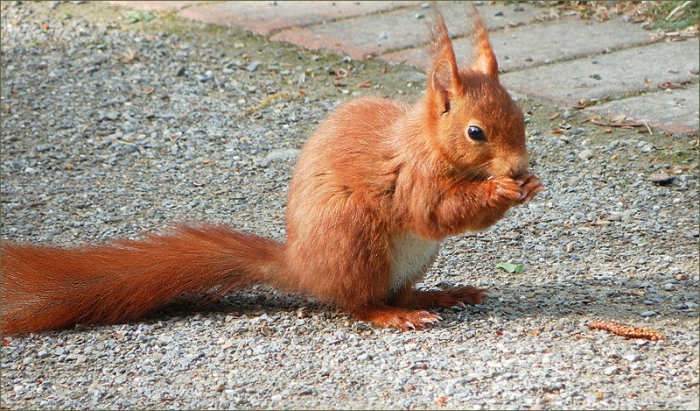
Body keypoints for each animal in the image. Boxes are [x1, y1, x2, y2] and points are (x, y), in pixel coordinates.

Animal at [1, 5, 543, 335]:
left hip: (411, 260)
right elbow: (436, 211)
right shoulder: (413, 177)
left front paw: (529, 184)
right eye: (475, 133)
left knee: (401, 290)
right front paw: (503, 189)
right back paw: (397, 317)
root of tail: (301, 265)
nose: (520, 165)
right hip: (356, 240)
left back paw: (446, 294)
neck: (426, 140)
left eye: (522, 118)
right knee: (359, 302)